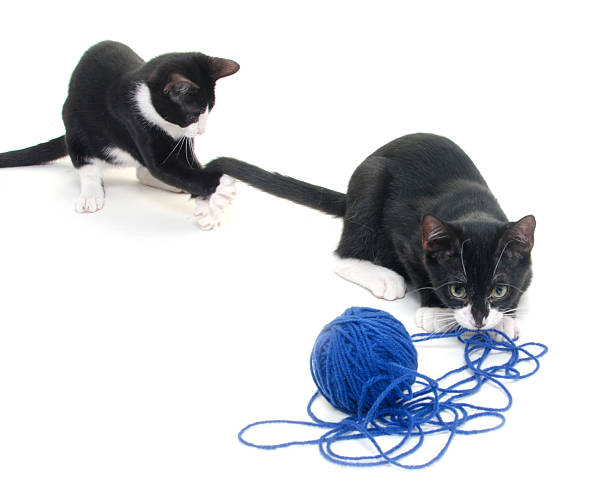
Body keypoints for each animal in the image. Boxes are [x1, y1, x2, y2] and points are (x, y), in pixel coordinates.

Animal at [0, 42, 239, 227]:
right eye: (193, 114)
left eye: (209, 110)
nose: (202, 130)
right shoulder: (134, 123)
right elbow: (170, 170)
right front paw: (219, 188)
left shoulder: (183, 142)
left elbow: (188, 169)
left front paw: (209, 205)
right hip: (73, 123)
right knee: (85, 162)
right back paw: (90, 194)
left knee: (141, 172)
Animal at [204, 134, 536, 338]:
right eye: (458, 290)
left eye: (499, 291)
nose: (479, 319)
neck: (472, 208)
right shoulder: (407, 237)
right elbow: (421, 271)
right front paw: (434, 311)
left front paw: (506, 319)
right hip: (371, 180)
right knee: (343, 254)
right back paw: (384, 277)